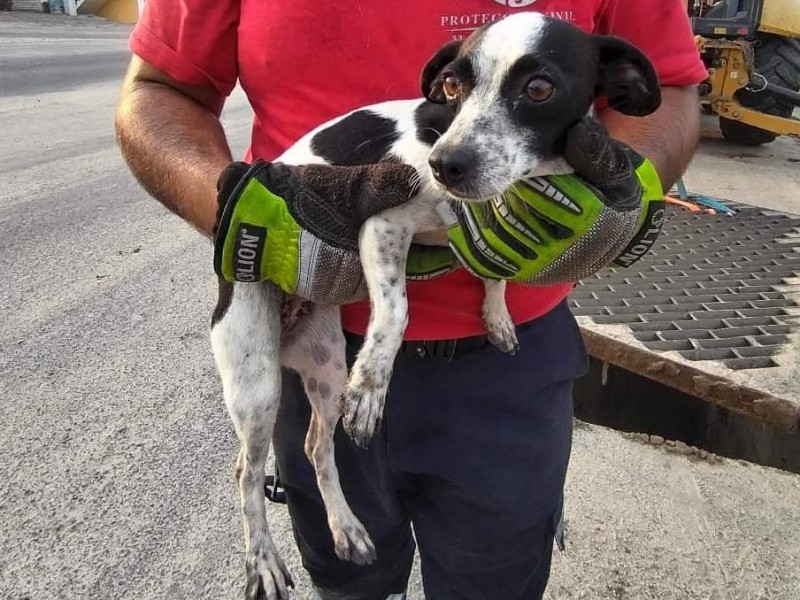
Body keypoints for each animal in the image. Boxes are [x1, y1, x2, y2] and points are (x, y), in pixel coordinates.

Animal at [209, 10, 660, 600]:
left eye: (538, 88)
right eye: (451, 86)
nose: (446, 164)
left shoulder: (491, 234)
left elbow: (496, 268)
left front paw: (497, 315)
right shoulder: (381, 225)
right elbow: (396, 312)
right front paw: (373, 387)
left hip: (325, 369)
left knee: (315, 447)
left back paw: (346, 527)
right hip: (255, 381)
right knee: (245, 471)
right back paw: (262, 560)